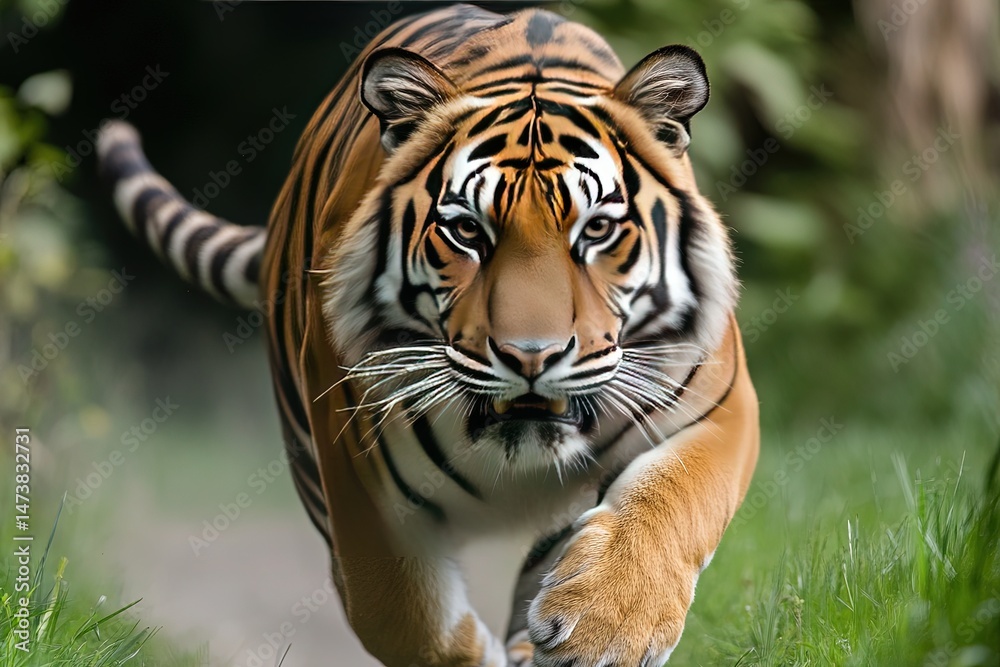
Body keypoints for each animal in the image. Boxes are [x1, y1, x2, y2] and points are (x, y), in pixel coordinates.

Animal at [97, 4, 759, 666]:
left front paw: (607, 627)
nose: (531, 356)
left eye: (596, 230)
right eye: (467, 231)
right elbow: (402, 613)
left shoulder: (721, 407)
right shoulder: (358, 474)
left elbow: (674, 500)